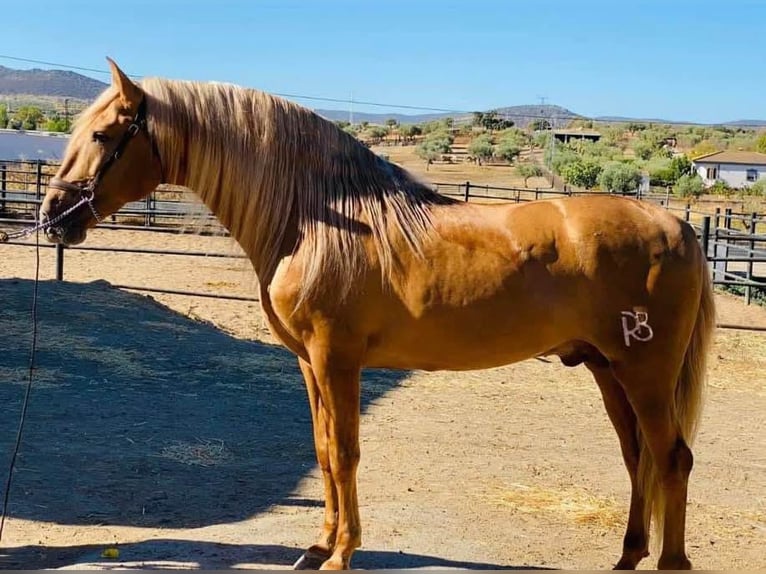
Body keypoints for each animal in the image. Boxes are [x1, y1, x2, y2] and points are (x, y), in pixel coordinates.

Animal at [39, 58, 716, 572]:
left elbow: (345, 453)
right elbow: (321, 451)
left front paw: (342, 554)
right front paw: (317, 547)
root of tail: (676, 226)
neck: (317, 219)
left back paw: (669, 562)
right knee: (638, 458)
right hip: (608, 369)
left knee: (672, 457)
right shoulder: (309, 365)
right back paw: (628, 556)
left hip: (645, 372)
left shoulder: (337, 360)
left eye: (102, 136)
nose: (52, 217)